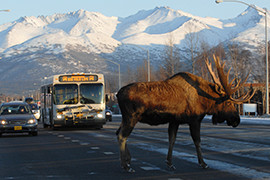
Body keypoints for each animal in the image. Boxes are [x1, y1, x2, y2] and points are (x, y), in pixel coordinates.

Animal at [116, 55, 255, 172]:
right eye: (228, 103)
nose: (237, 120)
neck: (205, 102)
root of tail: (118, 94)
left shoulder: (175, 121)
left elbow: (172, 140)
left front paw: (170, 163)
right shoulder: (194, 120)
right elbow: (197, 141)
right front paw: (203, 163)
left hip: (126, 117)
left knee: (118, 132)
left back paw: (128, 160)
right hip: (132, 116)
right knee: (122, 135)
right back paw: (125, 165)